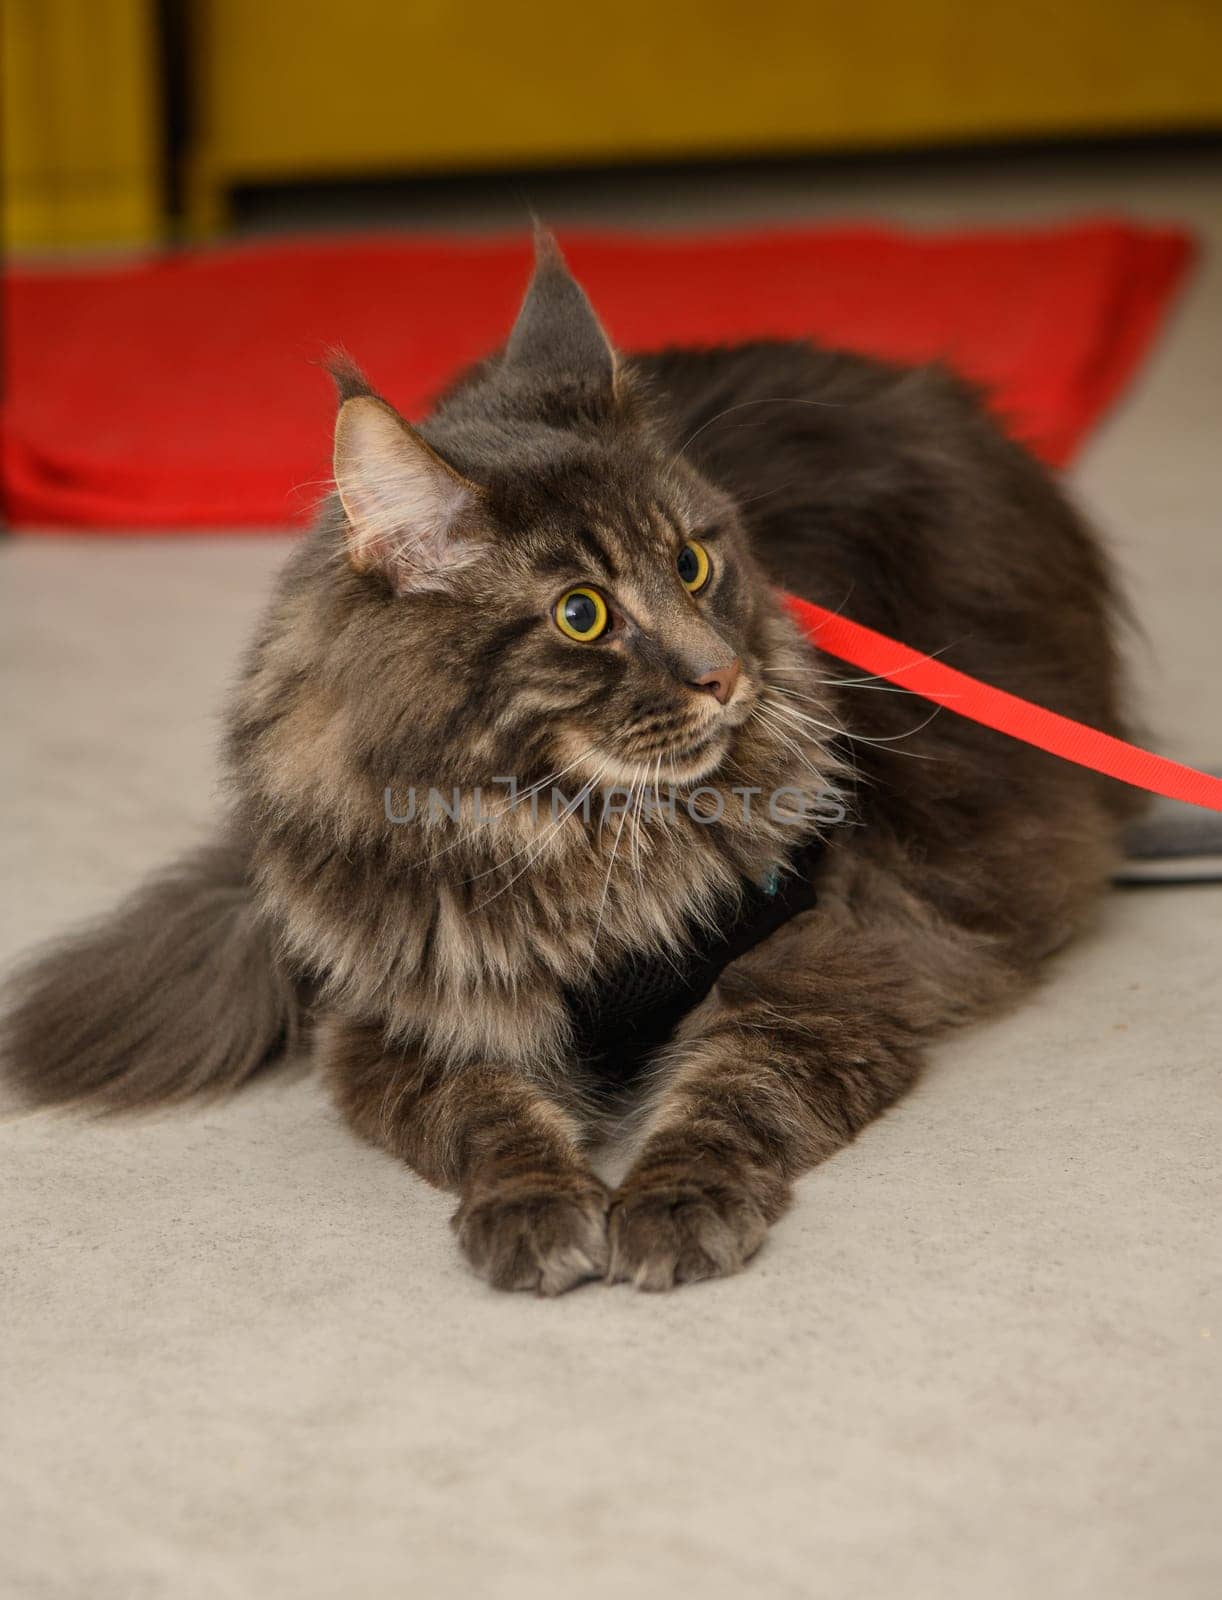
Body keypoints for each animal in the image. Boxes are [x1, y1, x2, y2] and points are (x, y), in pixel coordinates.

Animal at [0, 232, 1138, 1292]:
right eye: (582, 615)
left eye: (693, 563)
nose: (725, 673)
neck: (574, 841)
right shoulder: (411, 1020)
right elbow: (490, 1115)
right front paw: (537, 1210)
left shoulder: (827, 954)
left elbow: (731, 1091)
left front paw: (674, 1206)